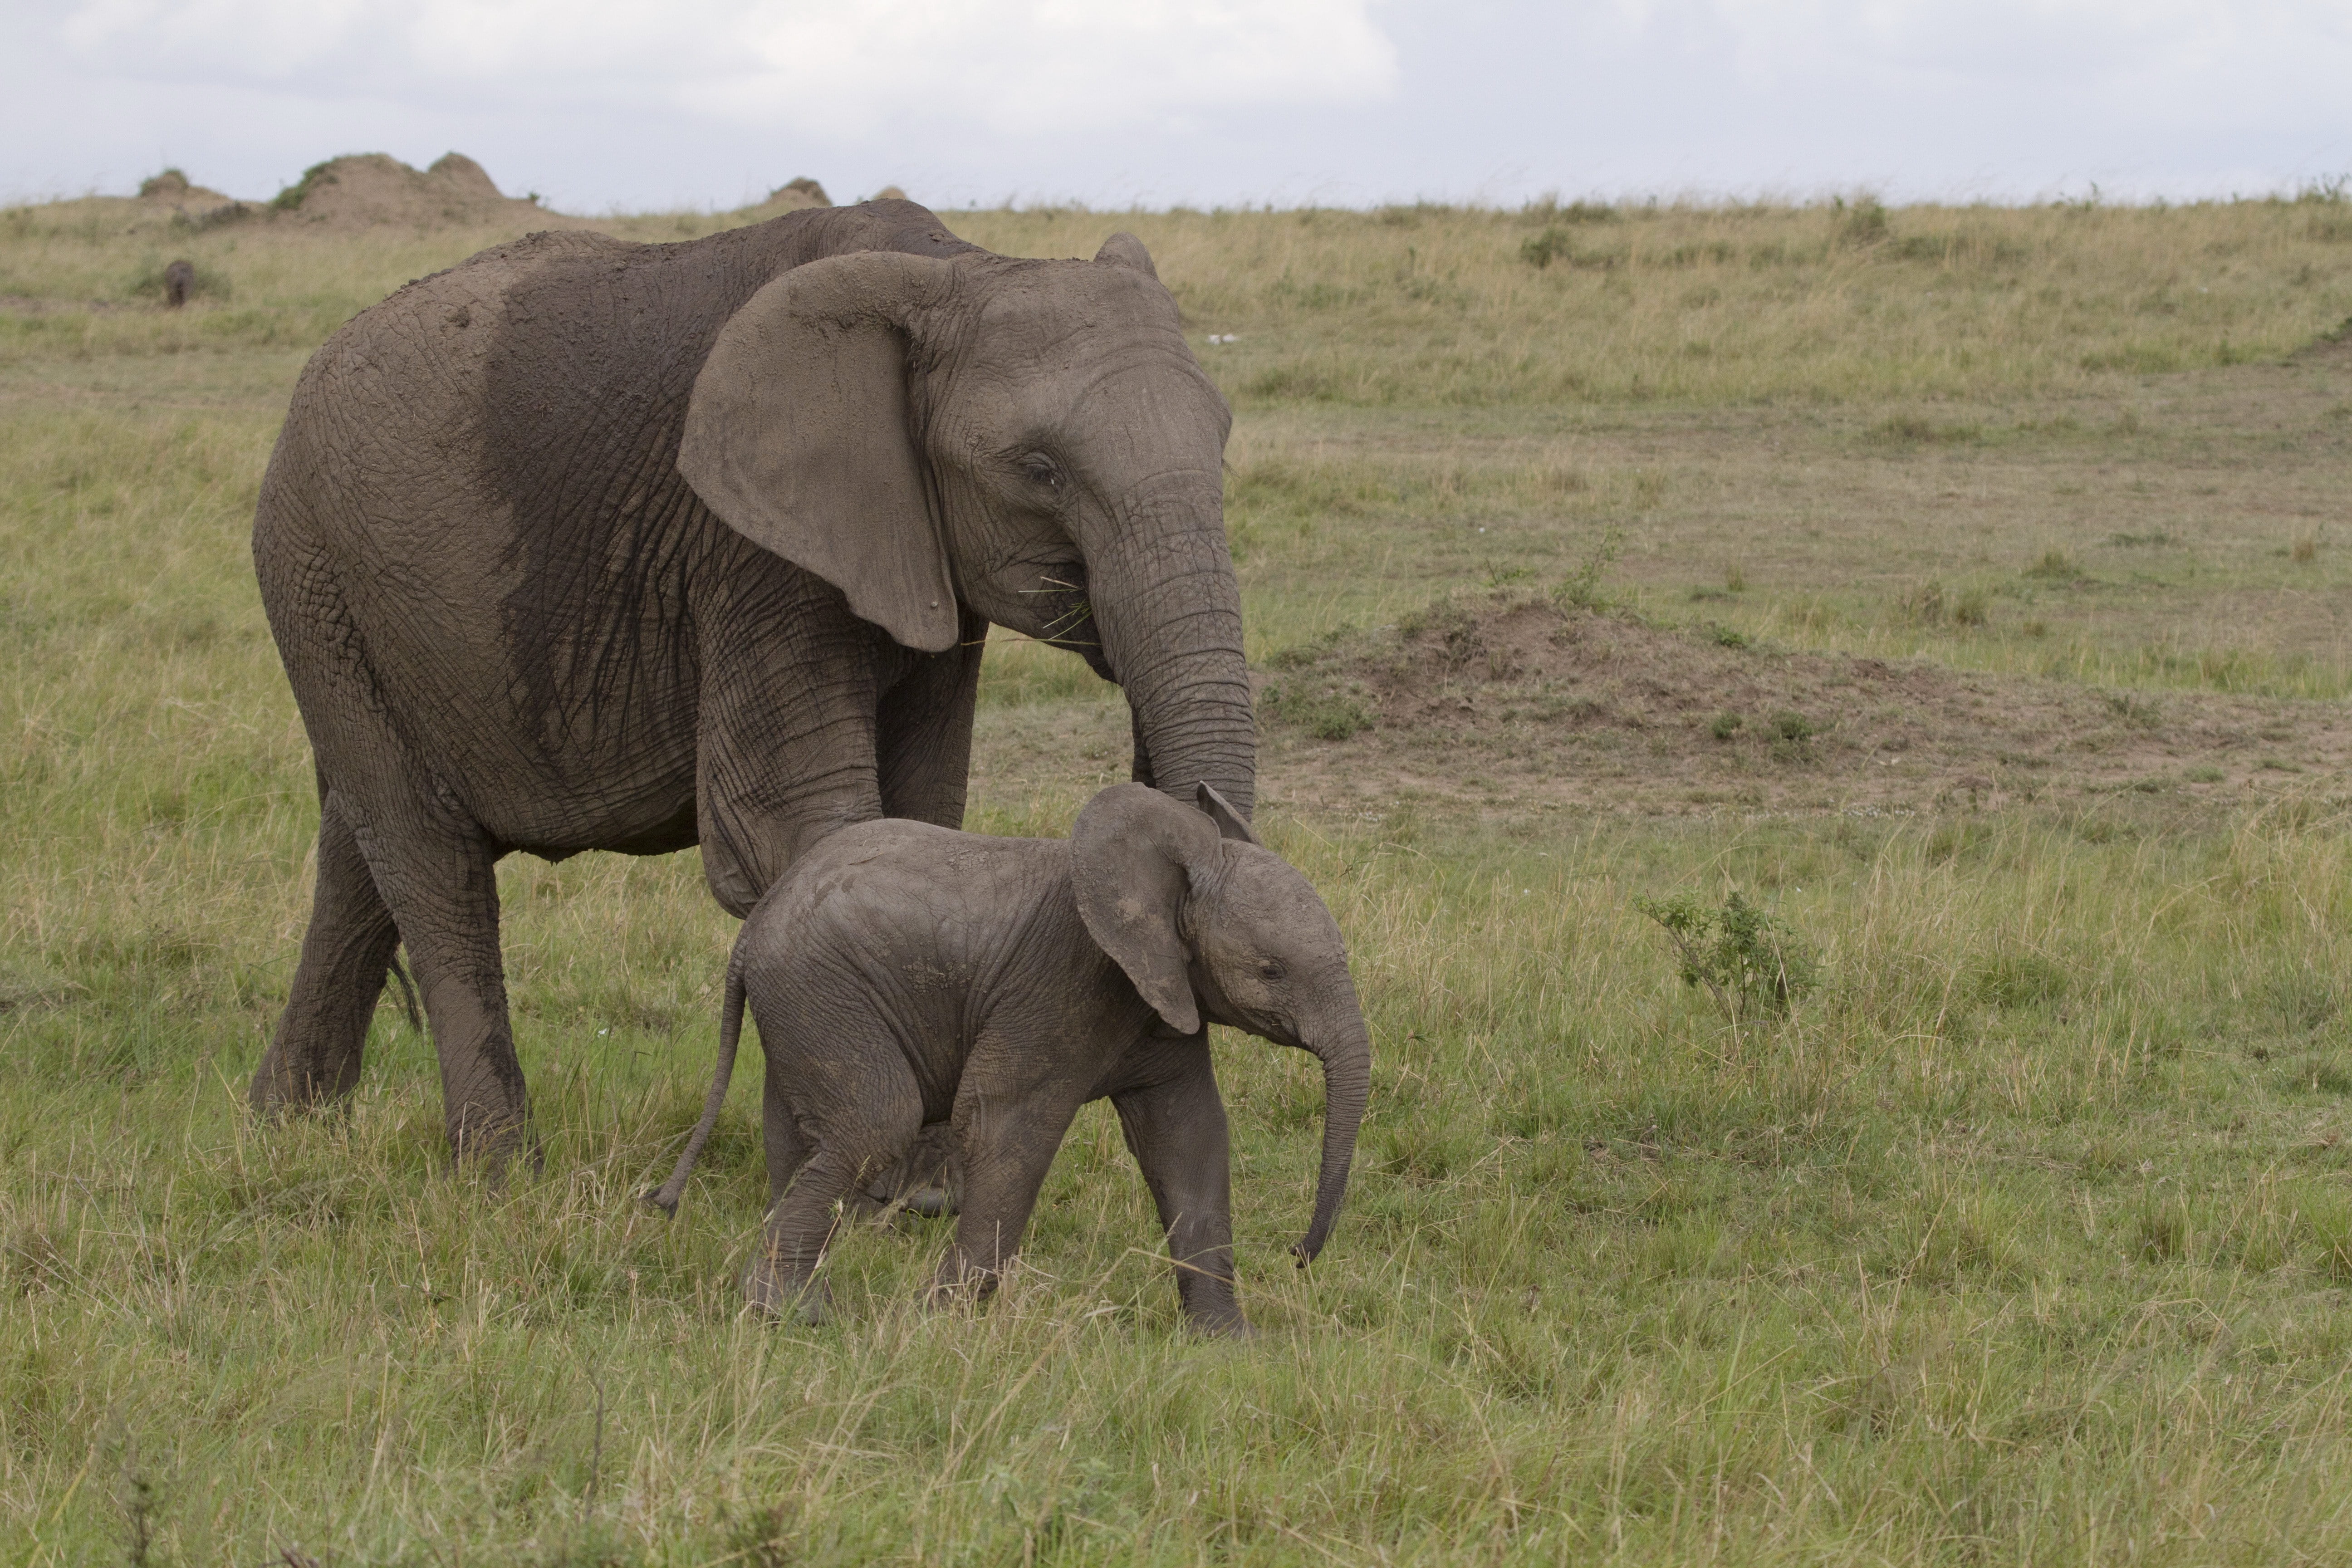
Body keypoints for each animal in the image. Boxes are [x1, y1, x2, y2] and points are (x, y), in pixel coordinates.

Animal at [249, 200, 1257, 1169]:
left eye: (1221, 443)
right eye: (1039, 471)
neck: (952, 266)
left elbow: (922, 821)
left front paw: (924, 1179)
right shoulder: (751, 552)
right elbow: (797, 829)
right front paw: (894, 1181)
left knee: (358, 842)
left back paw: (289, 1120)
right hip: (317, 572)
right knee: (429, 859)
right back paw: (497, 1168)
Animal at [644, 783, 1369, 1336]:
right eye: (1272, 971)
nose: (1297, 1256)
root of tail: (750, 931)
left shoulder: (1166, 1000)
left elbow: (1189, 1140)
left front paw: (1229, 1345)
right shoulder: (1063, 985)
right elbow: (1008, 1126)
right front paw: (939, 1326)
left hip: (802, 1006)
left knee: (798, 1137)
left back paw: (796, 1302)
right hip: (823, 991)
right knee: (877, 1123)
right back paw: (792, 1315)